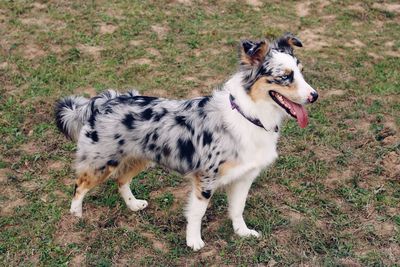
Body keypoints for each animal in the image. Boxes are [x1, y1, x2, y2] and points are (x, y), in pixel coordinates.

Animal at [54, 33, 318, 251]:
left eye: (301, 72)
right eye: (285, 77)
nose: (315, 96)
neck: (249, 115)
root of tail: (102, 101)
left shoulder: (245, 177)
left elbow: (238, 209)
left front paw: (242, 232)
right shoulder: (205, 179)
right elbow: (197, 214)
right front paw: (194, 242)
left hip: (140, 158)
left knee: (121, 180)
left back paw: (133, 205)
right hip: (101, 162)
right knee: (80, 185)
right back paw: (76, 214)